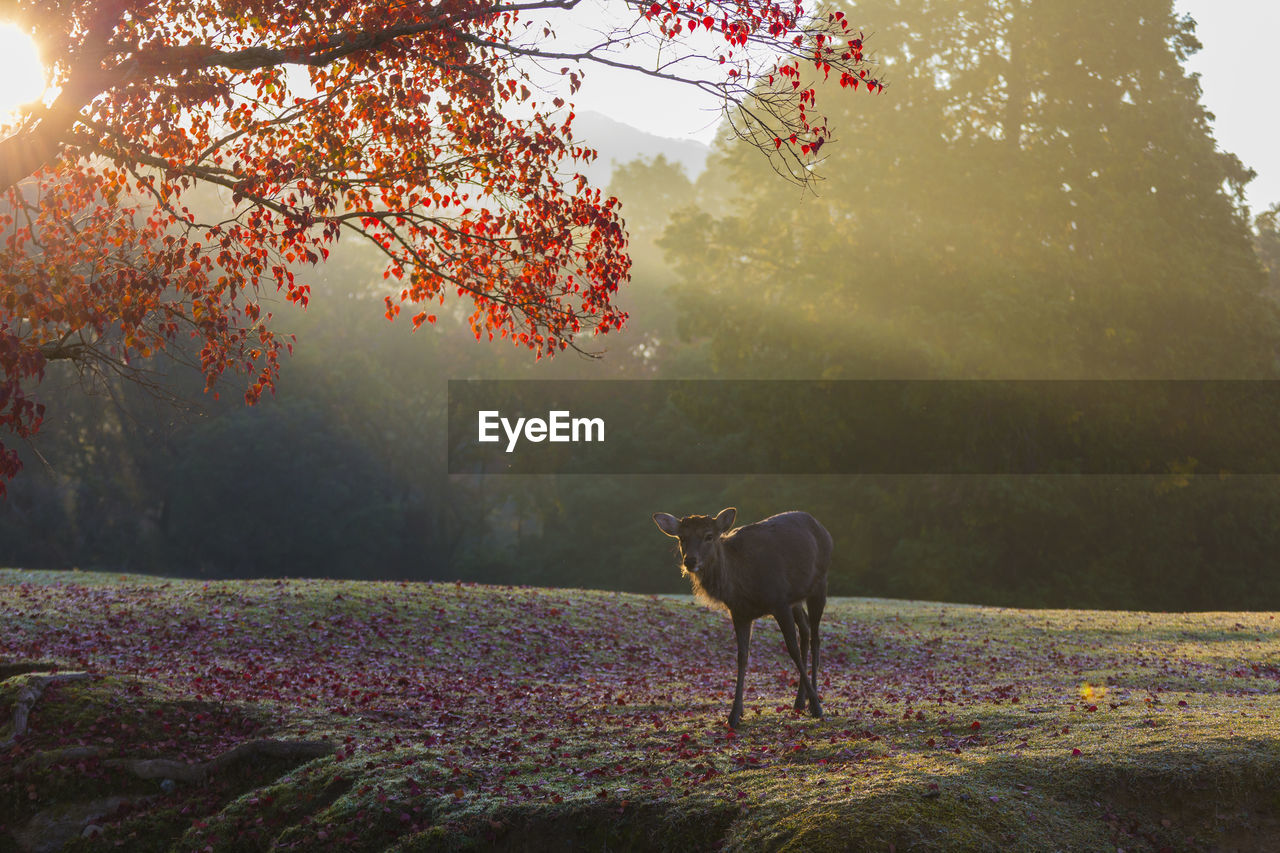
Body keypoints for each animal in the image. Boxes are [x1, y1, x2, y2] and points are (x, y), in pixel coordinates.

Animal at [650, 504, 829, 722]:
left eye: (709, 536)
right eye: (682, 537)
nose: (690, 561)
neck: (740, 583)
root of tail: (823, 529)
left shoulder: (779, 601)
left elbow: (791, 649)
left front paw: (817, 706)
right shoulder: (739, 613)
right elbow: (742, 656)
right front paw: (735, 713)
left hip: (820, 584)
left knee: (815, 638)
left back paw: (813, 701)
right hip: (796, 598)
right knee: (805, 631)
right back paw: (799, 701)